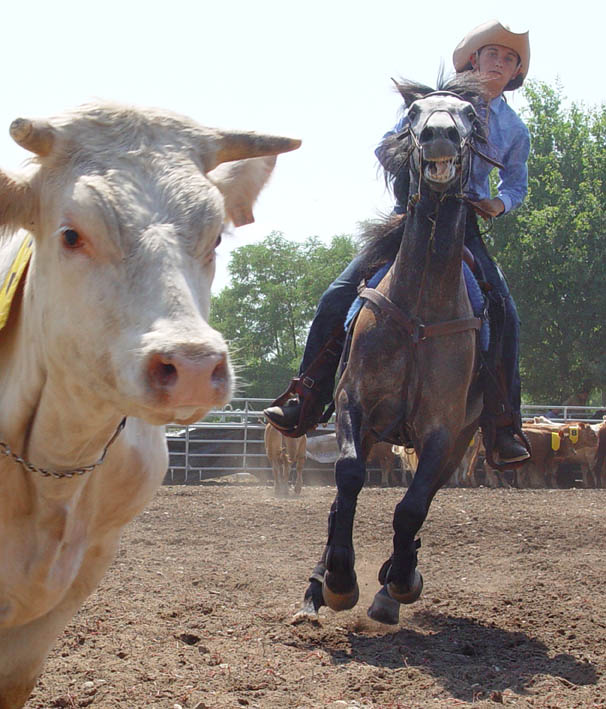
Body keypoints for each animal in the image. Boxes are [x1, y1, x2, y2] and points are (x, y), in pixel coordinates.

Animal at [296, 74, 502, 624]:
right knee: (341, 497)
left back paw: (391, 583)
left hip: (461, 440)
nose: (438, 136)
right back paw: (317, 587)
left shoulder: (443, 430)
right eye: (413, 115)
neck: (419, 314)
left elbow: (412, 505)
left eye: (470, 116)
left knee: (423, 500)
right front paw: (339, 582)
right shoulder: (354, 405)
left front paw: (401, 582)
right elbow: (347, 479)